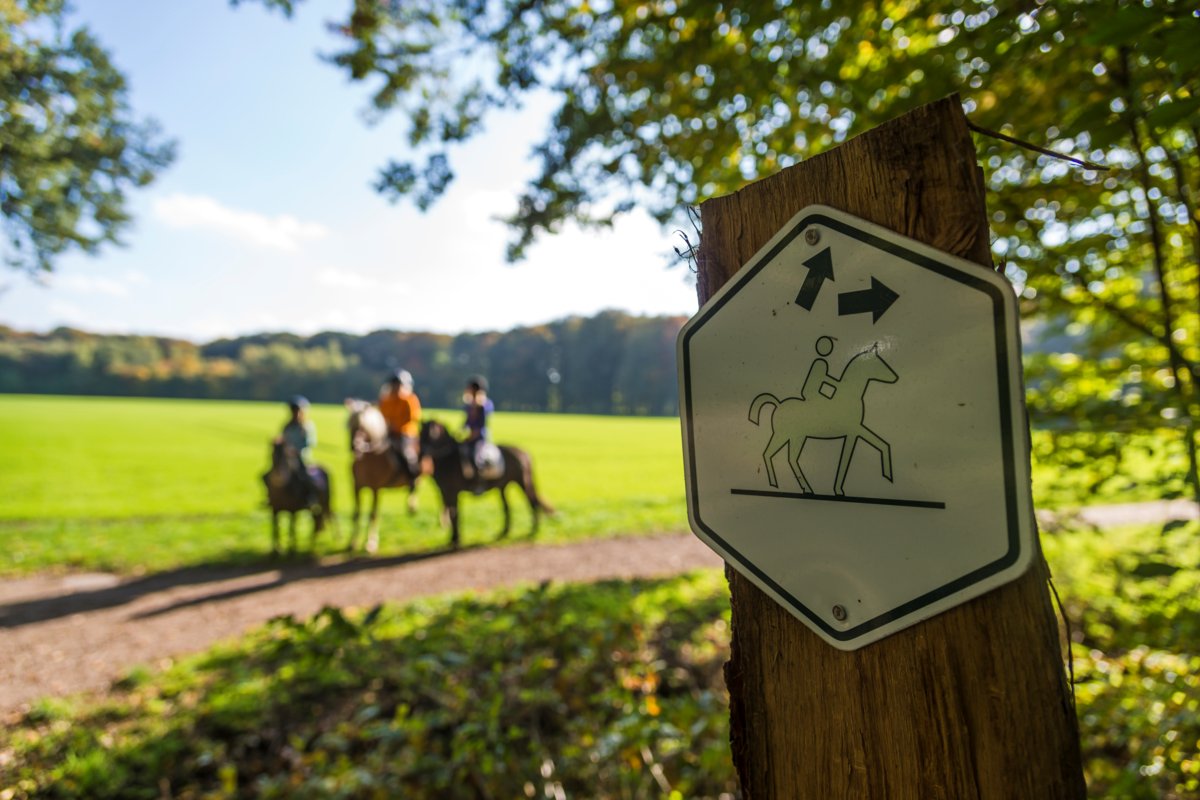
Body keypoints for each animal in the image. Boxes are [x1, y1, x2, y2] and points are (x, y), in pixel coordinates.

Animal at [343, 398, 422, 554]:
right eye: (350, 425)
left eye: (363, 427)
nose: (354, 447)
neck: (368, 457)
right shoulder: (356, 487)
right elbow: (356, 514)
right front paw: (352, 543)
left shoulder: (376, 489)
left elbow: (373, 515)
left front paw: (371, 544)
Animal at [417, 419, 552, 551]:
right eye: (420, 433)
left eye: (428, 433)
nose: (419, 455)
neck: (448, 458)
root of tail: (524, 453)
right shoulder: (444, 492)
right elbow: (452, 514)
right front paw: (453, 538)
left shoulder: (452, 492)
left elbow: (455, 514)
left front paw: (456, 540)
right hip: (503, 487)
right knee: (507, 507)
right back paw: (503, 533)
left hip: (523, 483)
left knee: (532, 503)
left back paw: (533, 531)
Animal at [748, 343, 902, 494]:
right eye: (879, 362)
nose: (895, 377)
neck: (849, 394)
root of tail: (779, 404)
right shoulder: (854, 431)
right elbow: (846, 459)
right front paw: (838, 490)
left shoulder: (857, 430)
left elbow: (880, 443)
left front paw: (887, 474)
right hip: (785, 435)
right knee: (775, 455)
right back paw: (790, 485)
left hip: (794, 436)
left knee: (784, 457)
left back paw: (796, 486)